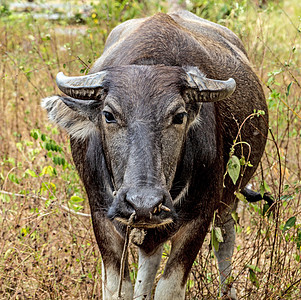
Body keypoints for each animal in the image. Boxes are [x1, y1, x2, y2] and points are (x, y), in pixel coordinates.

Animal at [41, 8, 268, 298]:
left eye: (179, 116)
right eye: (108, 115)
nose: (144, 203)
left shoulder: (198, 219)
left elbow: (169, 288)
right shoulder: (102, 218)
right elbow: (118, 287)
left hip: (228, 200)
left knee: (224, 241)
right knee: (150, 260)